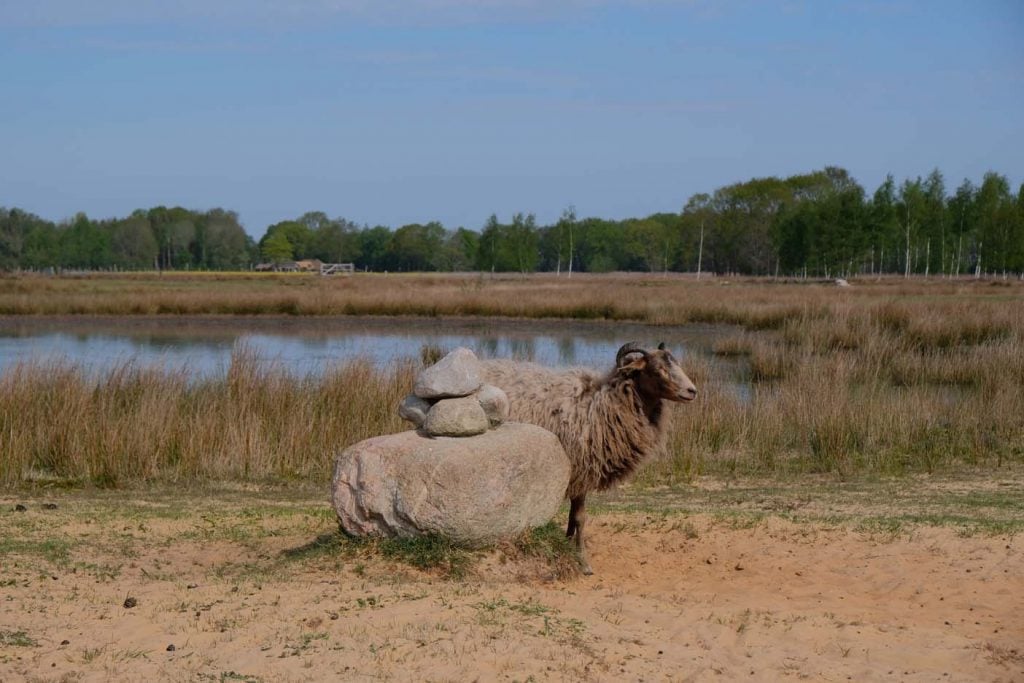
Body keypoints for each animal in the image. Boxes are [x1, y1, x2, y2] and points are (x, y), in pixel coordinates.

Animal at [479, 344, 696, 573]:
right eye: (657, 370)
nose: (692, 391)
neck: (601, 404)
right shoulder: (580, 470)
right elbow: (580, 518)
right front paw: (583, 561)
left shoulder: (578, 475)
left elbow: (572, 516)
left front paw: (567, 544)